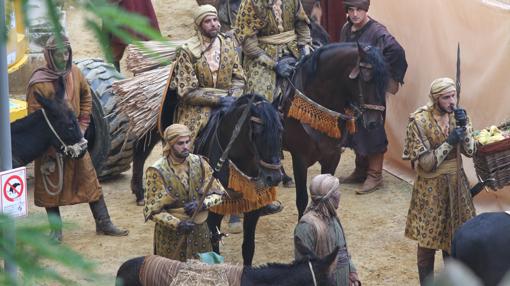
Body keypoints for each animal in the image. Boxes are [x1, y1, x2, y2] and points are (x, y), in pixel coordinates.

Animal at [282, 42, 390, 217]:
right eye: (366, 79)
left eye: (384, 81)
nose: (375, 122)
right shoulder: (299, 158)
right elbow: (302, 200)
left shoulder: (332, 156)